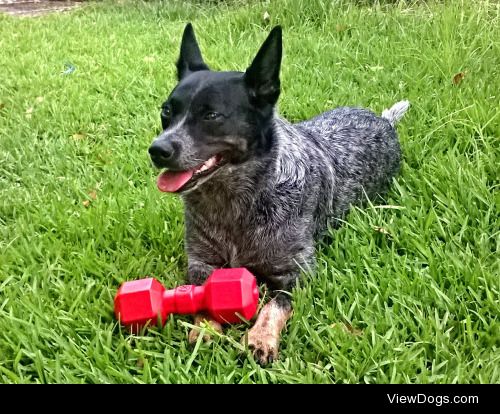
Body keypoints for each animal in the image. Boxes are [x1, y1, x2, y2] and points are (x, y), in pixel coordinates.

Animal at [147, 23, 406, 366]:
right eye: (167, 111)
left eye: (211, 115)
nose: (157, 150)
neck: (234, 201)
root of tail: (384, 120)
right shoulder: (201, 263)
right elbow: (204, 296)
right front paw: (205, 329)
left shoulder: (297, 271)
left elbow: (275, 304)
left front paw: (261, 337)